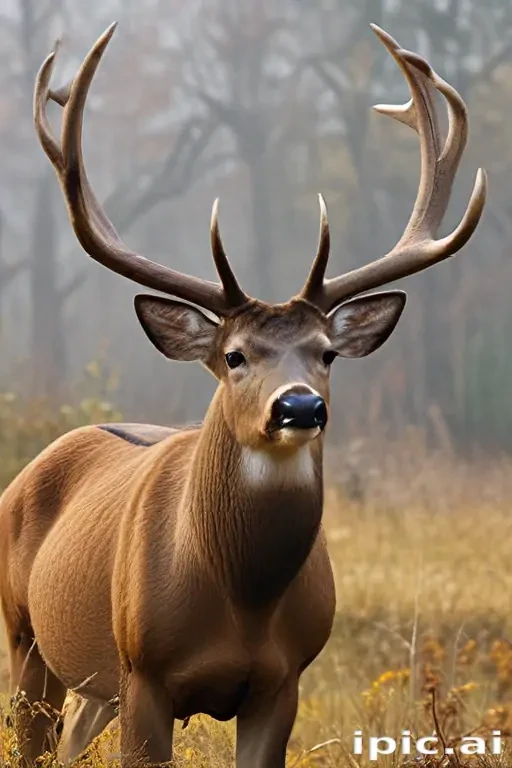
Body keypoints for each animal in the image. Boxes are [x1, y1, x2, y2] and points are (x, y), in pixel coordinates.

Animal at [0, 22, 486, 768]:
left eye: (326, 354)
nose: (299, 407)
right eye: (234, 356)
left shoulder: (283, 680)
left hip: (91, 685)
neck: (241, 605)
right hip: (27, 638)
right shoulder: (144, 673)